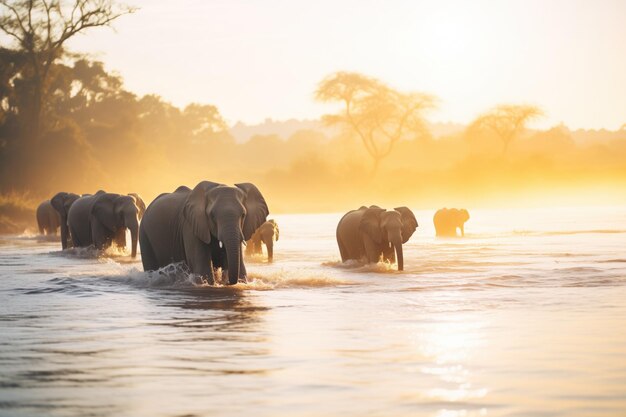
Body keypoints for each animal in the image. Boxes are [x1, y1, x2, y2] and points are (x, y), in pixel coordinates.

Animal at [139, 180, 268, 284]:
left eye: (243, 215)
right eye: (212, 216)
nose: (227, 283)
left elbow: (241, 269)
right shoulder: (190, 227)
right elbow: (203, 270)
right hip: (144, 233)